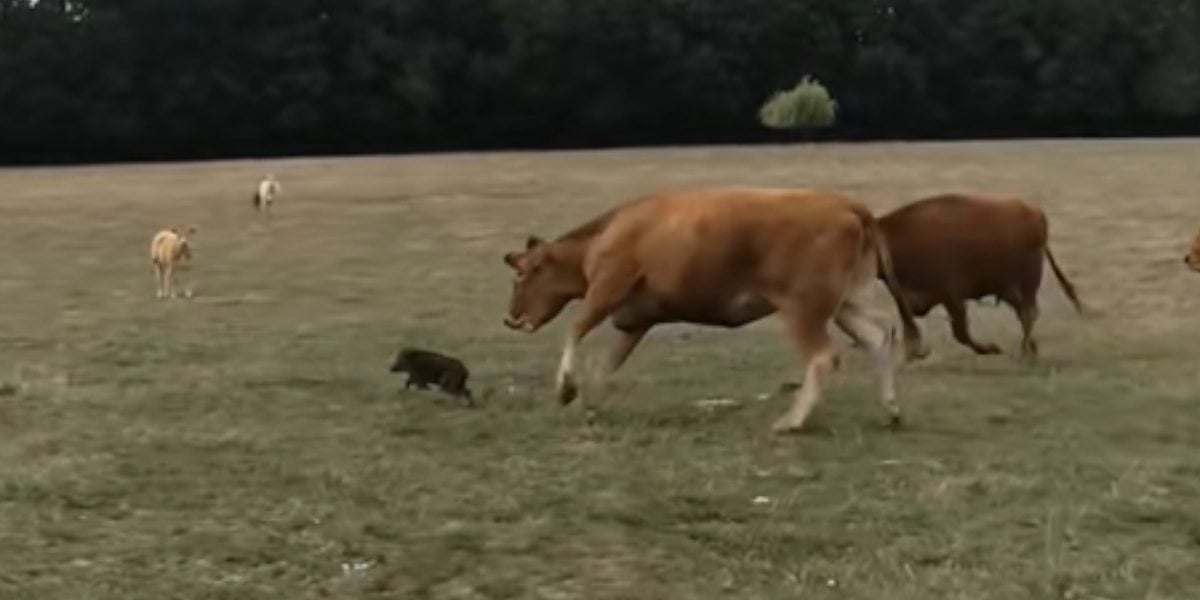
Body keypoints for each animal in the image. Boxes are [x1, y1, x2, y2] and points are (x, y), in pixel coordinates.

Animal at [500, 186, 917, 434]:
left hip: (802, 309)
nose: (512, 317)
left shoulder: (606, 290)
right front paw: (590, 406)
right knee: (879, 335)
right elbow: (606, 364)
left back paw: (792, 420)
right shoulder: (636, 321)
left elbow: (574, 331)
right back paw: (891, 408)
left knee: (823, 356)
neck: (603, 238)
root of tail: (847, 204)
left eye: (523, 273)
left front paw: (566, 388)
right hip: (847, 303)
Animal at [876, 193, 1084, 362]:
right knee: (1024, 314)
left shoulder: (951, 296)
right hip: (1009, 289)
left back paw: (1025, 353)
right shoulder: (906, 298)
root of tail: (1035, 214)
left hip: (1027, 283)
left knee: (1028, 314)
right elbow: (911, 328)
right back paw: (1030, 350)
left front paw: (993, 348)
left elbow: (961, 333)